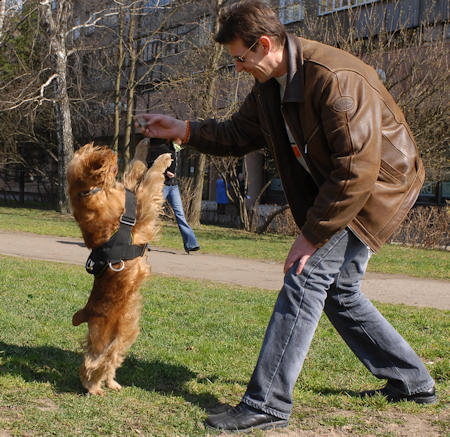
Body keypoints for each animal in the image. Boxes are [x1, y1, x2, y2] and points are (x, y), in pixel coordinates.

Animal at [67, 141, 172, 394]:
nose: (114, 152)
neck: (90, 193)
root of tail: (86, 312)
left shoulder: (133, 193)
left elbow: (136, 169)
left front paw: (143, 146)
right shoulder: (141, 204)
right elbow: (151, 176)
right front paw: (163, 159)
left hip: (124, 333)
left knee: (110, 360)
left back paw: (112, 383)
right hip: (103, 338)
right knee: (91, 364)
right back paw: (93, 388)